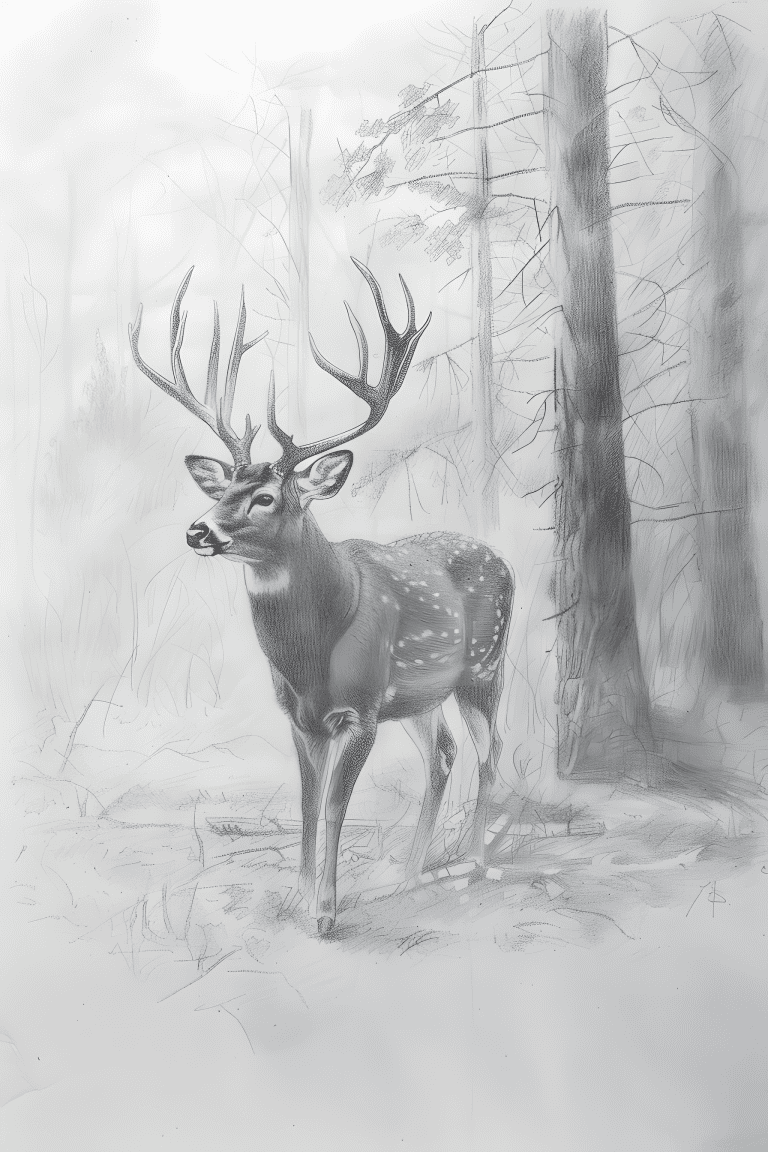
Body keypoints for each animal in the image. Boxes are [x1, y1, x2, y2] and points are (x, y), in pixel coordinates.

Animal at [129, 259, 514, 936]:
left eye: (266, 497)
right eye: (224, 488)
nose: (198, 530)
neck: (312, 656)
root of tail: (506, 562)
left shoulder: (359, 711)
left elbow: (336, 804)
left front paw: (327, 912)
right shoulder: (301, 716)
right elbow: (308, 802)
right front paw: (298, 894)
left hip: (483, 667)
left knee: (489, 750)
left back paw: (473, 861)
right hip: (417, 696)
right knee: (443, 754)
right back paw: (410, 872)